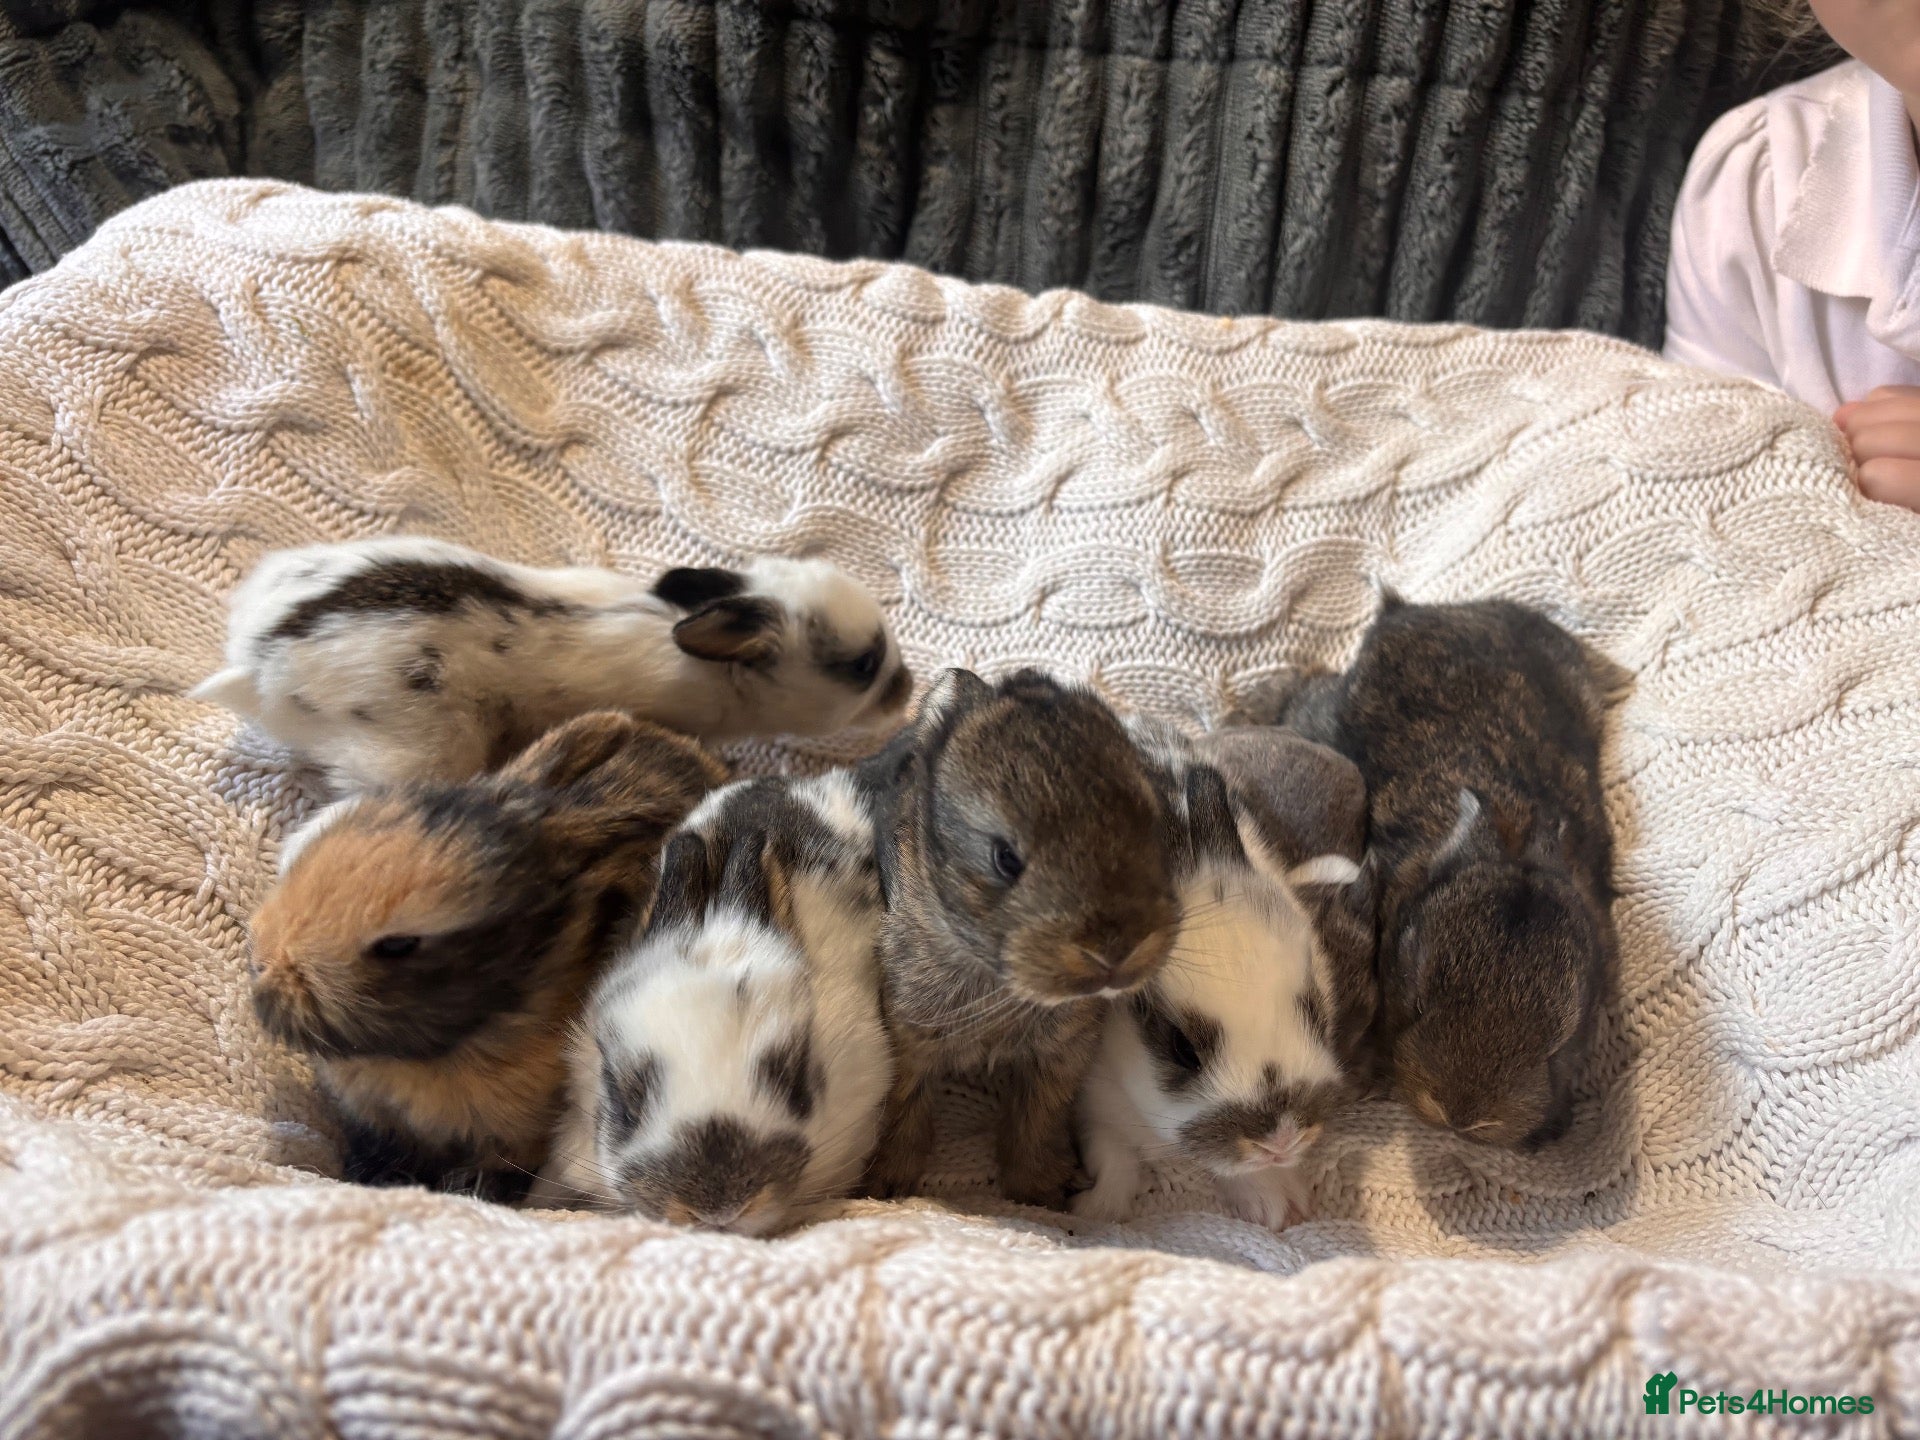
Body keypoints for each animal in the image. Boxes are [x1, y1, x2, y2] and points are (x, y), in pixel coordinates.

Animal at [857, 668, 1181, 1209]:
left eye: (1153, 829)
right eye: (1005, 858)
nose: (1116, 949)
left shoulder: (1062, 1050)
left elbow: (1036, 1120)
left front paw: (1038, 1193)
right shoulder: (910, 1035)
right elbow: (903, 1111)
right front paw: (883, 1187)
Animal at [1073, 761, 1365, 1230]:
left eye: (1316, 1014)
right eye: (1182, 1049)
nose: (1281, 1141)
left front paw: (1277, 1205)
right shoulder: (1095, 1101)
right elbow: (1115, 1161)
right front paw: (1098, 1211)